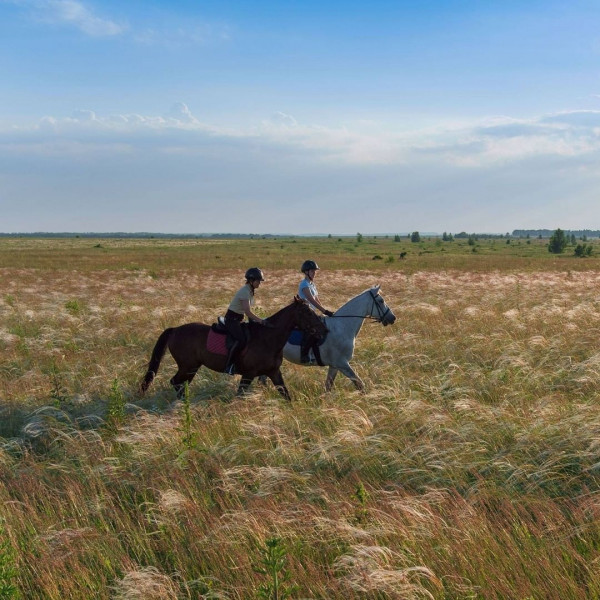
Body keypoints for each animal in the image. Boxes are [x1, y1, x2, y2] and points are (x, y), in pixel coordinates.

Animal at [139, 298, 328, 400]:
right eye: (307, 312)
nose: (324, 330)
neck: (268, 338)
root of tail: (175, 330)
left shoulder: (274, 372)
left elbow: (285, 394)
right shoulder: (249, 374)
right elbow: (240, 394)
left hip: (191, 367)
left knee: (179, 383)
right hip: (188, 366)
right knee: (175, 382)